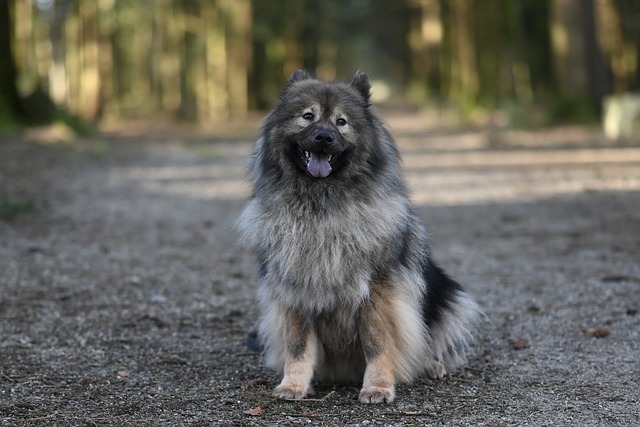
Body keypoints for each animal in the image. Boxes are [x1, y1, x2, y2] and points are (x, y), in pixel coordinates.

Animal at [239, 70, 480, 404]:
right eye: (308, 116)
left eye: (341, 122)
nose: (324, 137)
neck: (322, 209)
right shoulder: (295, 289)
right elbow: (298, 347)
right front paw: (293, 385)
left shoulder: (378, 293)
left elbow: (378, 342)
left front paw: (378, 387)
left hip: (447, 295)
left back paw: (431, 365)